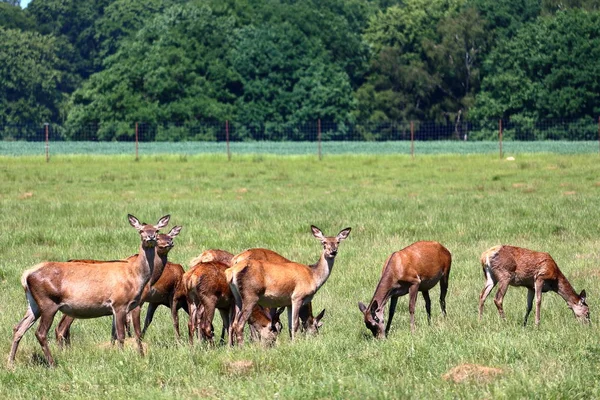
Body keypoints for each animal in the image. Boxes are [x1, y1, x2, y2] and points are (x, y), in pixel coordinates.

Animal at [8, 214, 170, 368]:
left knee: (18, 328)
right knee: (40, 332)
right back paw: (52, 364)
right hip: (48, 301)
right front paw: (123, 358)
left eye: (156, 230)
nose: (150, 237)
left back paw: (11, 363)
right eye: (141, 230)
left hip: (33, 303)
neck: (135, 275)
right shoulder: (119, 303)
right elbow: (121, 335)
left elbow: (119, 334)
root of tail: (26, 275)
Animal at [54, 227, 183, 346]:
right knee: (61, 328)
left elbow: (114, 331)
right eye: (158, 237)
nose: (169, 243)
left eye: (170, 237)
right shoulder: (137, 301)